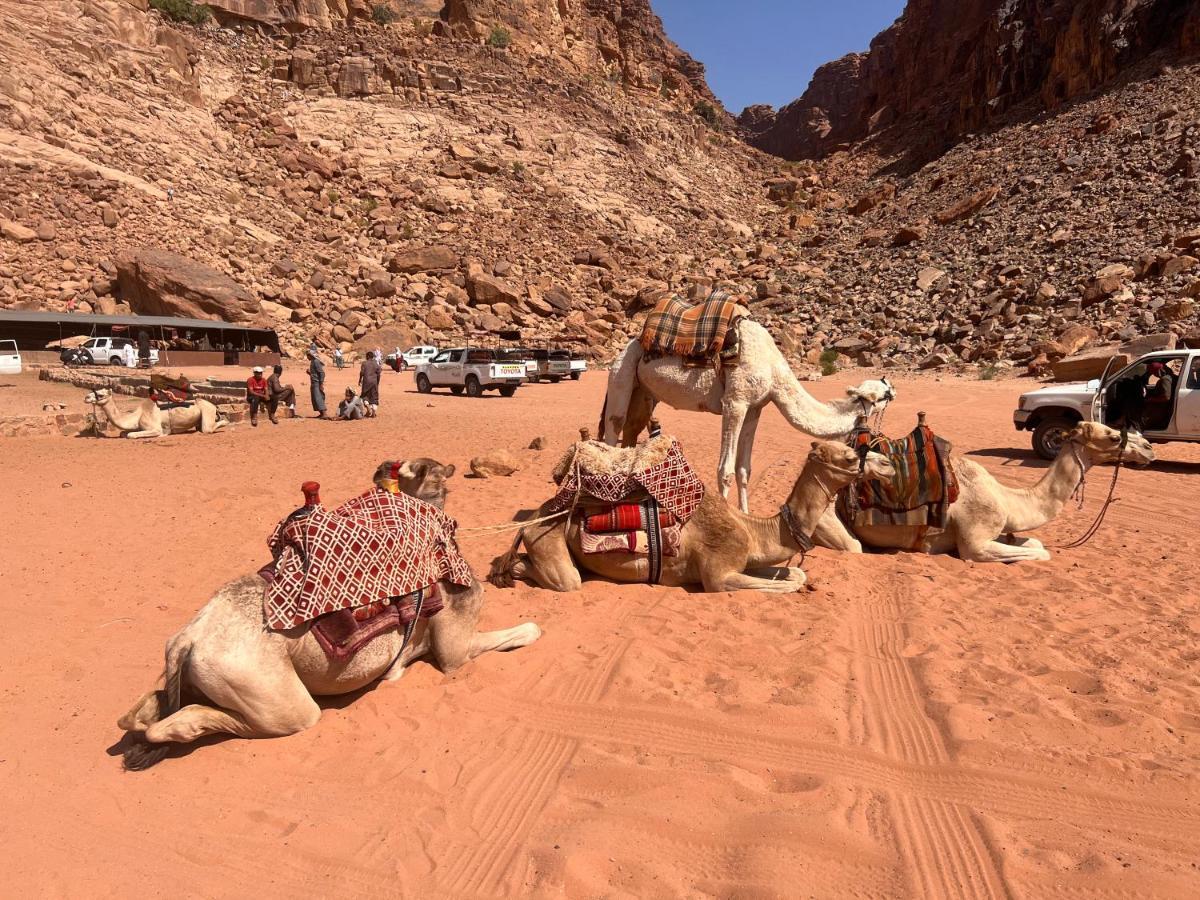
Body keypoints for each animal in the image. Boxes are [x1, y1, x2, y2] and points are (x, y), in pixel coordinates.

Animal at [84, 386, 226, 439]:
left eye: (100, 395)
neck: (137, 415)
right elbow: (123, 433)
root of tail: (214, 405)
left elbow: (131, 435)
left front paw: (163, 434)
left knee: (209, 428)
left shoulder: (155, 428)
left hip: (207, 411)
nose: (86, 397)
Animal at [115, 460, 540, 772]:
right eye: (441, 480)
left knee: (147, 708)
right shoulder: (454, 647)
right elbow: (524, 631)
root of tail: (190, 638)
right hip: (272, 697)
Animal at [487, 441, 892, 595]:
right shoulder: (718, 572)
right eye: (849, 456)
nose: (887, 464)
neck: (754, 530)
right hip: (551, 543)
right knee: (559, 577)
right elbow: (783, 586)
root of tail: (533, 518)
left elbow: (795, 574)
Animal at [597, 316, 892, 513]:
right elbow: (725, 470)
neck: (773, 370)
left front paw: (747, 516)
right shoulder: (735, 402)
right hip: (621, 375)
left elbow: (743, 469)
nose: (892, 385)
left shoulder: (756, 407)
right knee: (613, 430)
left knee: (631, 433)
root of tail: (629, 344)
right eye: (881, 394)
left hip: (645, 393)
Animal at [816, 422, 1152, 564]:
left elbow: (1035, 542)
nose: (1149, 447)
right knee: (851, 546)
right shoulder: (975, 543)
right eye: (1111, 435)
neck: (1006, 498)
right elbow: (1041, 552)